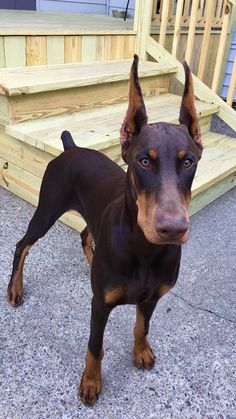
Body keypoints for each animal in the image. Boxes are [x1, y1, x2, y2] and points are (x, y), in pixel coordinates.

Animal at [7, 56, 203, 406]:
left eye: (188, 161)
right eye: (144, 161)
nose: (172, 229)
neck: (145, 250)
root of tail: (71, 148)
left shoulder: (152, 297)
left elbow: (142, 327)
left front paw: (141, 352)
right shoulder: (98, 306)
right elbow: (94, 348)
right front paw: (91, 383)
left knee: (86, 234)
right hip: (47, 210)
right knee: (22, 244)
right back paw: (15, 288)